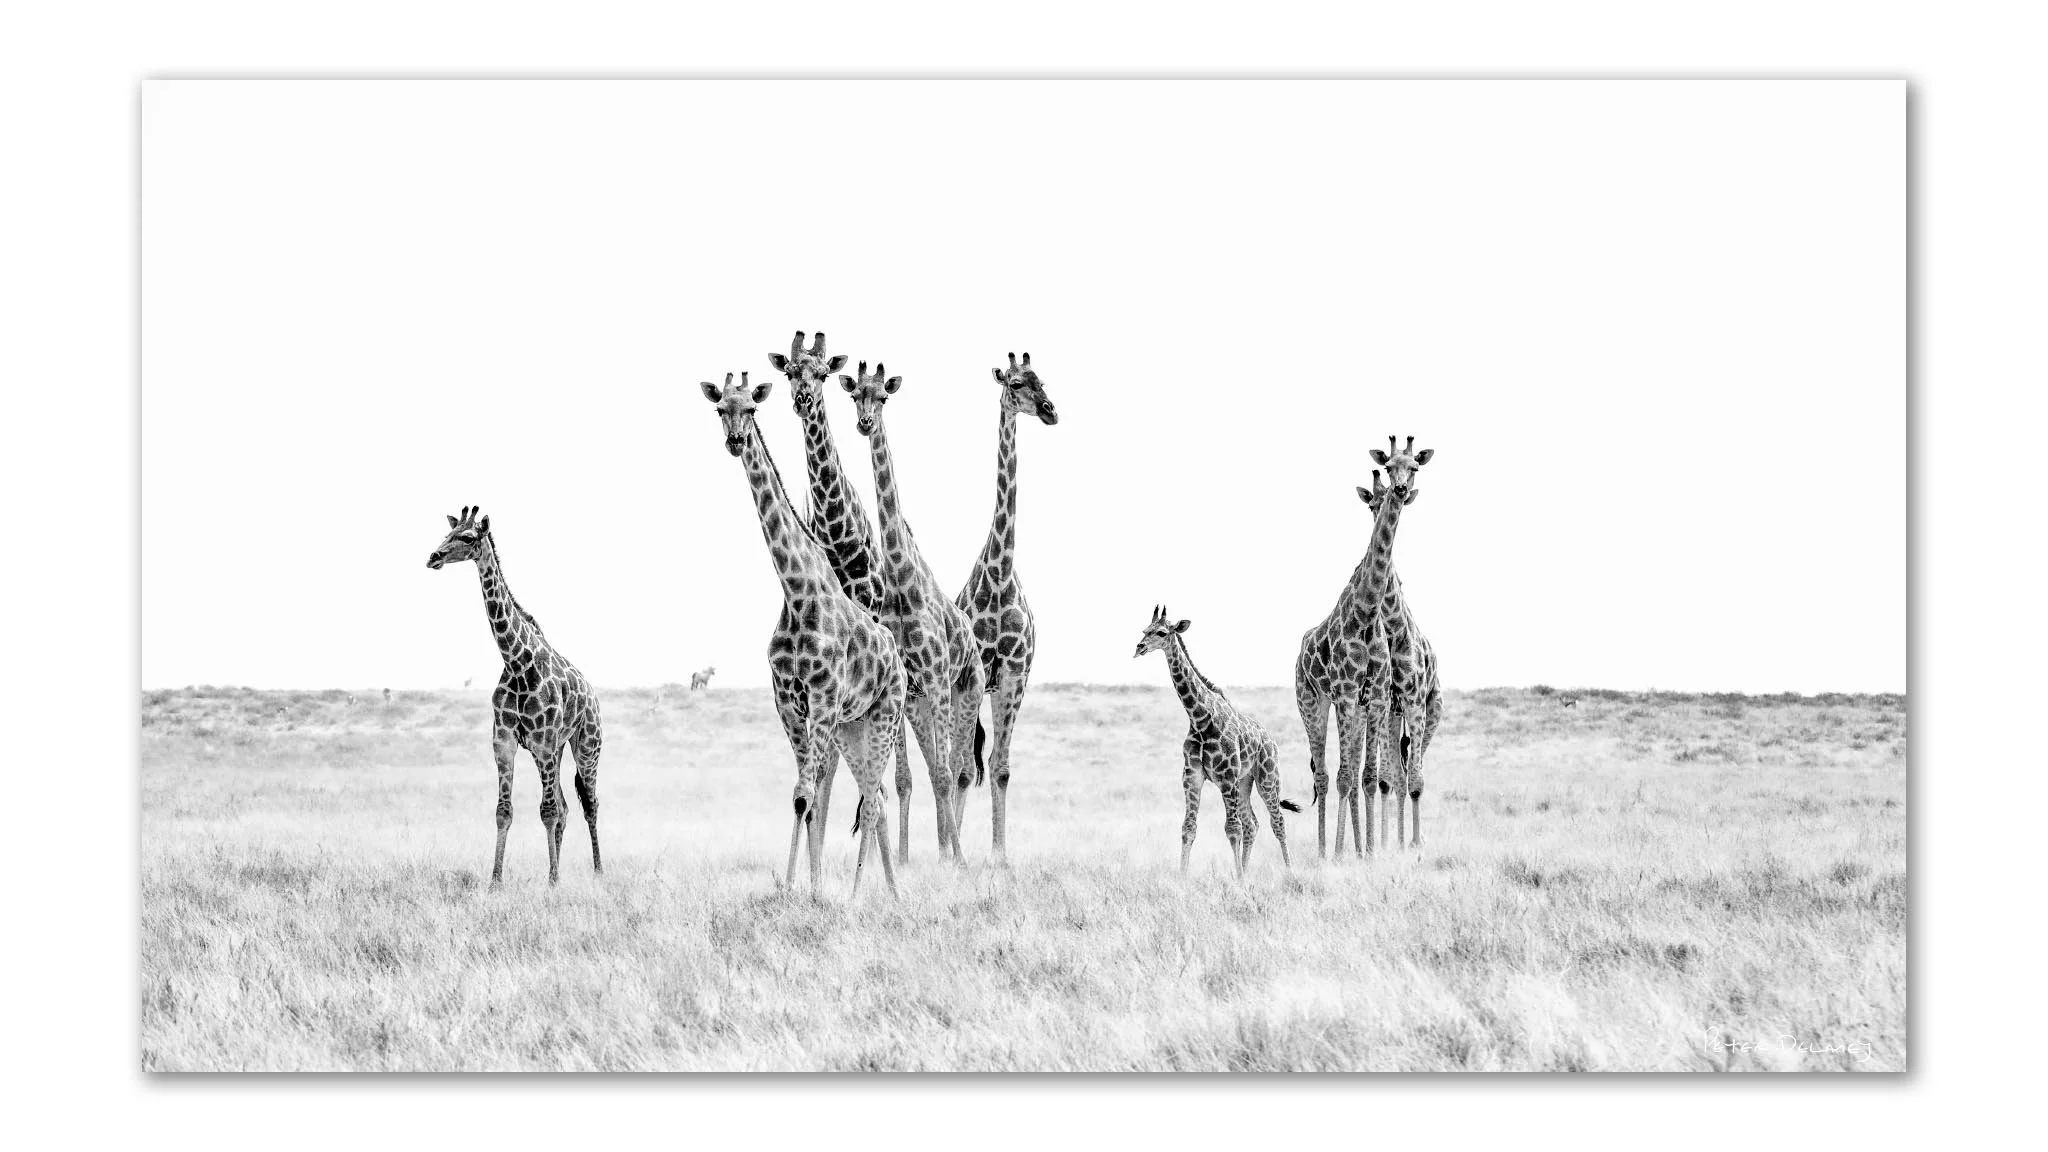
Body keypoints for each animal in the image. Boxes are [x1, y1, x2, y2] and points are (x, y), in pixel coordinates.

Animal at [426, 506, 603, 886]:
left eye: (467, 538)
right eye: (447, 533)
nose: (433, 556)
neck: (517, 660)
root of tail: (593, 697)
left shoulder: (544, 740)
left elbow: (546, 811)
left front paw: (552, 883)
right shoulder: (505, 741)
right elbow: (504, 811)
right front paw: (496, 881)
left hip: (585, 746)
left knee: (589, 804)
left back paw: (598, 871)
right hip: (551, 752)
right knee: (566, 806)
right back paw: (560, 867)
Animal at [701, 372, 909, 896]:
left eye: (751, 408)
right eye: (720, 409)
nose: (735, 441)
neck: (795, 592)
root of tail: (897, 659)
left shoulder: (821, 698)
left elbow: (805, 794)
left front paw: (803, 891)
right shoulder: (788, 701)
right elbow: (803, 797)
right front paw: (795, 888)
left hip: (883, 715)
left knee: (873, 800)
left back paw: (860, 897)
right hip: (853, 727)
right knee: (872, 797)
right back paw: (891, 892)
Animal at [842, 360, 988, 863]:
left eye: (883, 397)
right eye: (855, 396)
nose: (865, 423)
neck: (902, 582)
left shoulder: (939, 680)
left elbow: (944, 773)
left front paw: (956, 861)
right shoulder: (907, 691)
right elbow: (906, 777)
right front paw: (905, 860)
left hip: (966, 691)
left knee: (959, 767)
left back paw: (953, 850)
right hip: (924, 705)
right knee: (934, 768)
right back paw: (940, 847)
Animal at [1134, 606, 1301, 876]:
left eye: (1161, 632)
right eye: (1144, 630)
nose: (1139, 647)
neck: (1200, 719)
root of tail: (1271, 740)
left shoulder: (1226, 777)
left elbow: (1232, 829)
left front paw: (1238, 880)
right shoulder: (1192, 776)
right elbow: (1188, 827)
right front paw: (1183, 876)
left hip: (1267, 777)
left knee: (1276, 821)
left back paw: (1289, 871)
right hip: (1245, 782)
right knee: (1252, 823)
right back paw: (1247, 870)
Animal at [1293, 437, 1434, 860]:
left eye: (1414, 468)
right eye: (1387, 468)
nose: (1400, 492)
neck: (1369, 613)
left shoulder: (1375, 700)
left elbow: (1370, 777)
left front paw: (1370, 851)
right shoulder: (1346, 694)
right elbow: (1347, 777)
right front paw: (1345, 853)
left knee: (1363, 775)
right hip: (1312, 702)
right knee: (1325, 776)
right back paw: (1325, 850)